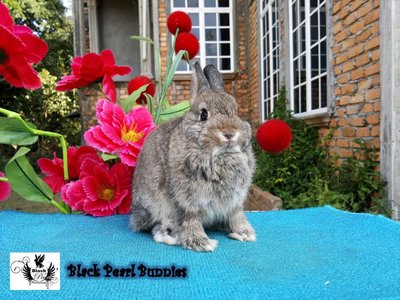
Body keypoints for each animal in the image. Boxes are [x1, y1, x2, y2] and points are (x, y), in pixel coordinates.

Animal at [131, 61, 256, 251]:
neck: (219, 154)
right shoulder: (188, 201)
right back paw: (171, 236)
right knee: (156, 227)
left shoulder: (234, 201)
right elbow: (191, 219)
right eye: (203, 114)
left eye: (235, 111)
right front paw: (201, 243)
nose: (229, 133)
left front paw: (245, 233)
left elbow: (236, 215)